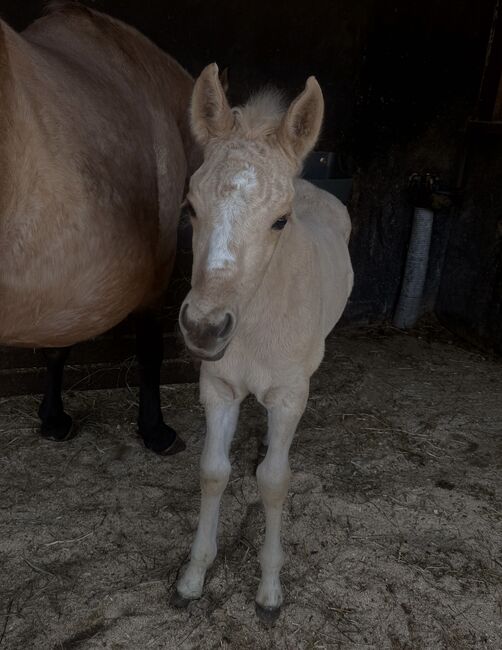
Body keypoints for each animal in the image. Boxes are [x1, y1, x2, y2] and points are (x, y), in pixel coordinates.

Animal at [0, 2, 199, 454]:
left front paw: (53, 419)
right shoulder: (157, 268)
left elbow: (57, 347)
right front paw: (155, 429)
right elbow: (149, 348)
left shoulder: (67, 282)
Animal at [173, 63, 353, 622]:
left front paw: (270, 590)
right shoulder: (218, 388)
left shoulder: (289, 396)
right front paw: (193, 576)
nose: (204, 328)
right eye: (190, 207)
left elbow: (275, 482)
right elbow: (212, 472)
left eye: (279, 220)